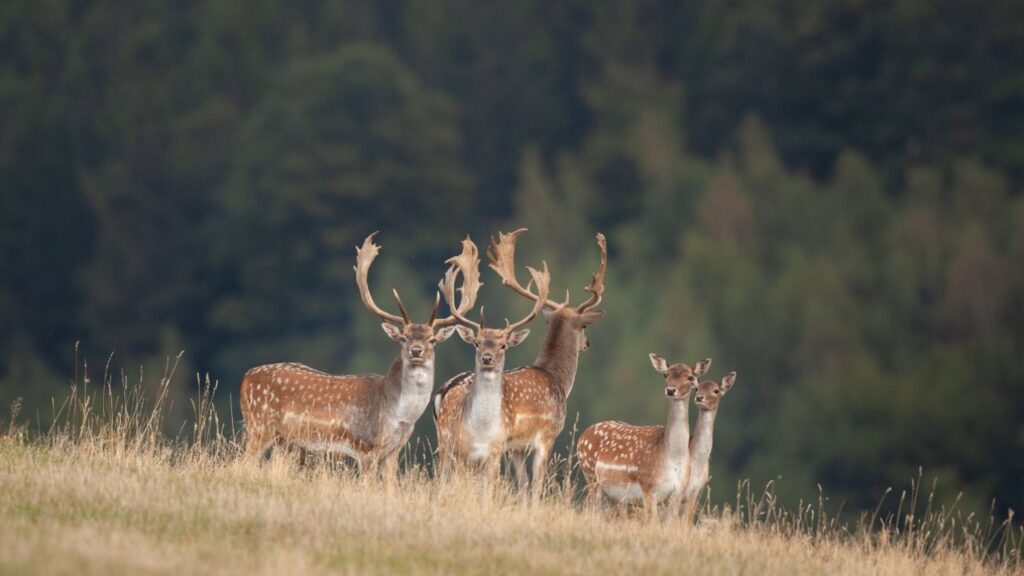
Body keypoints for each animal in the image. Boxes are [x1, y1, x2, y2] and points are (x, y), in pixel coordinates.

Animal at [239, 232, 480, 484]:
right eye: (403, 338)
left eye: (432, 339)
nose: (416, 350)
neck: (397, 415)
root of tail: (246, 377)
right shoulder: (366, 447)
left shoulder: (393, 451)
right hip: (258, 427)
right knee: (241, 463)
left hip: (283, 440)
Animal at [432, 260, 551, 489]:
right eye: (477, 343)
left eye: (503, 345)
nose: (487, 358)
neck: (482, 432)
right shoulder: (462, 453)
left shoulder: (495, 454)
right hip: (444, 444)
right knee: (442, 478)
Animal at [576, 355, 711, 522]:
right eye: (666, 374)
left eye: (690, 377)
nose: (671, 390)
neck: (670, 458)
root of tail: (583, 435)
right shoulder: (648, 488)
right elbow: (653, 523)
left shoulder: (677, 493)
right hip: (590, 476)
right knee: (592, 511)